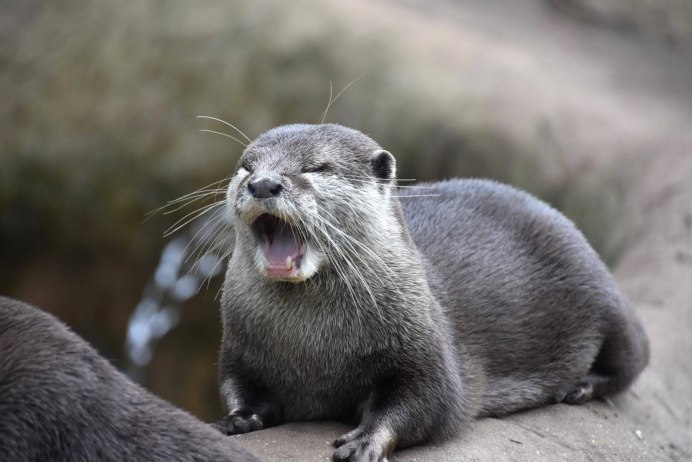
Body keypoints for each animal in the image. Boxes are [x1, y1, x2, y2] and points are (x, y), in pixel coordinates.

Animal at [213, 124, 649, 462]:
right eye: (246, 165)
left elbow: (432, 402)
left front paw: (366, 439)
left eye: (317, 167)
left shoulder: (427, 347)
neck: (313, 349)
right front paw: (237, 419)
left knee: (634, 360)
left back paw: (581, 386)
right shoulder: (239, 348)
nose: (263, 184)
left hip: (604, 298)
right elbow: (239, 386)